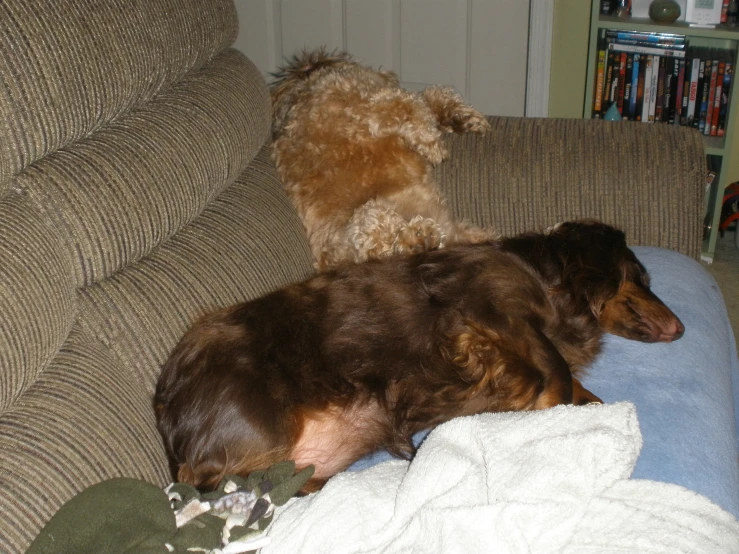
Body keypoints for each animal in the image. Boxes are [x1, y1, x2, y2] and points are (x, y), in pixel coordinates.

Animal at [156, 219, 688, 488]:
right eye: (642, 276)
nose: (682, 328)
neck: (545, 277)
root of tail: (167, 404)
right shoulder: (490, 310)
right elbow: (556, 372)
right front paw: (543, 417)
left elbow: (578, 386)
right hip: (261, 435)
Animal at [268, 48, 494, 268]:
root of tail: (330, 261)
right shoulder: (371, 107)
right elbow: (409, 103)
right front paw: (432, 144)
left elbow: (428, 98)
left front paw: (461, 118)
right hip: (368, 216)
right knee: (383, 244)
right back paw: (418, 238)